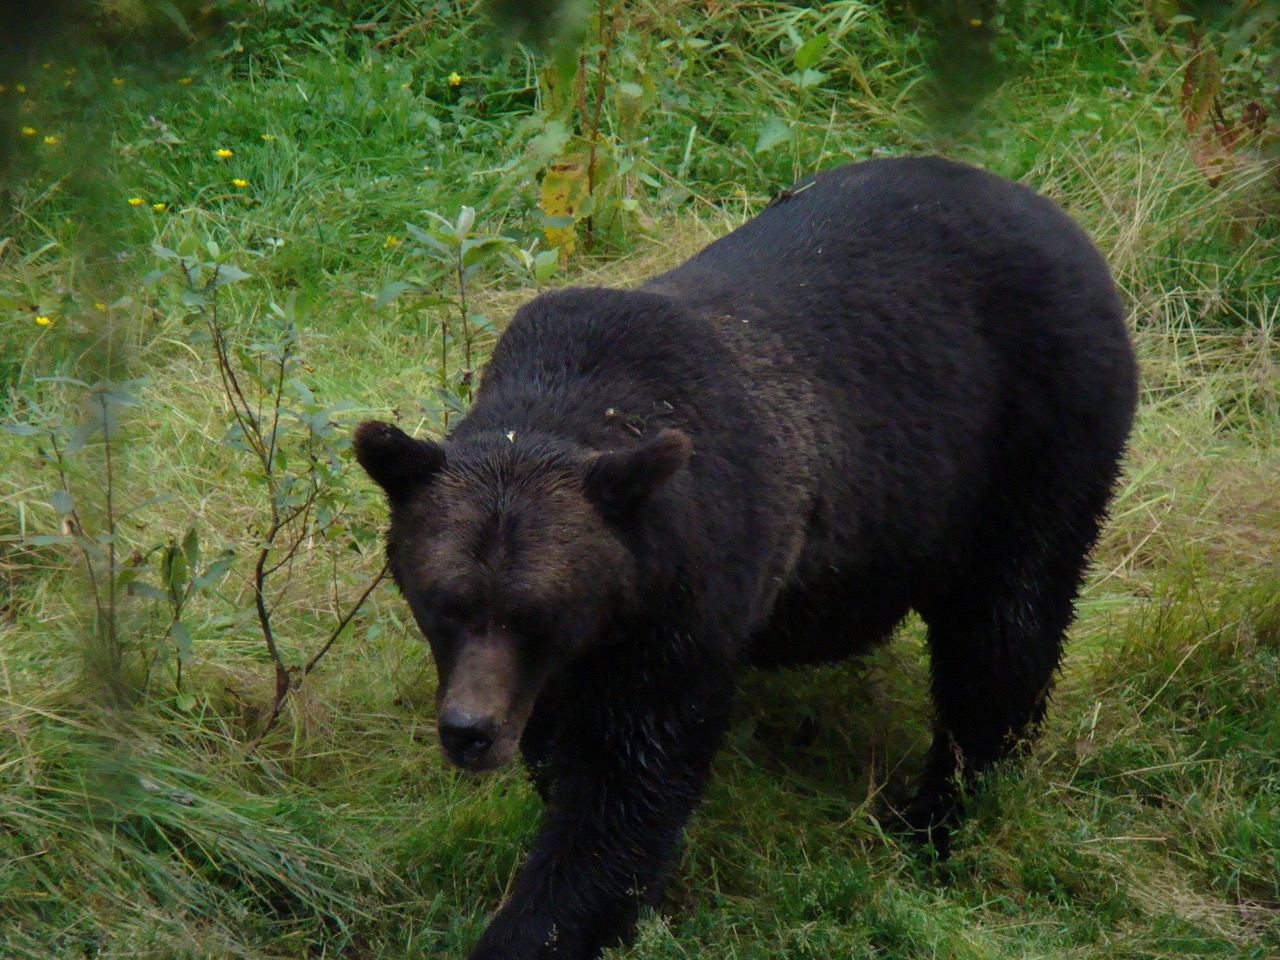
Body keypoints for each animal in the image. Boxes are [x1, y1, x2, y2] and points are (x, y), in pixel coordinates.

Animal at [353, 158, 1141, 960]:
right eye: (443, 602)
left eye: (534, 612)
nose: (470, 732)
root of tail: (1056, 214)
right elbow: (568, 751)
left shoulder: (691, 587)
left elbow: (626, 785)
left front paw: (542, 921)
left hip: (1037, 436)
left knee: (1006, 626)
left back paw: (939, 814)